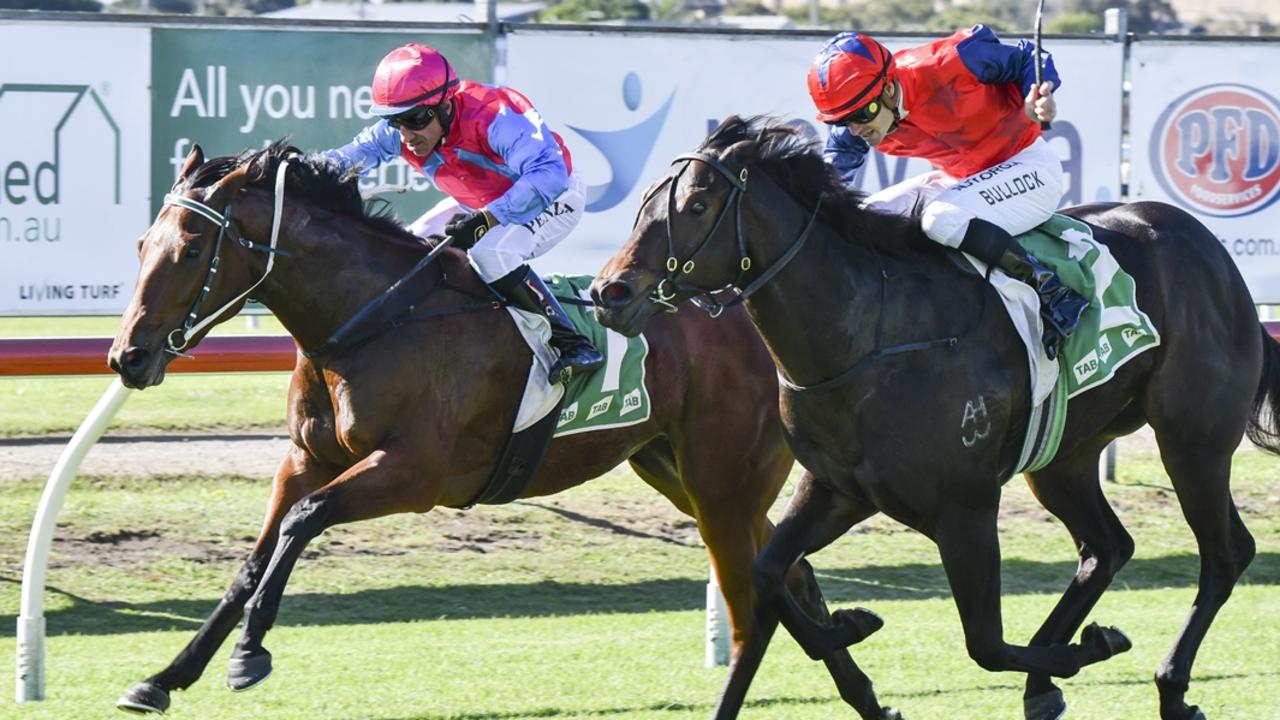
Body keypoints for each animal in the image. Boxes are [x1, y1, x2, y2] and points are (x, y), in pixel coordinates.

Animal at [107, 141, 901, 717]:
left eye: (190, 250)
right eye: (141, 244)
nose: (127, 357)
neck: (373, 319)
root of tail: (745, 304)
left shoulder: (415, 473)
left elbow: (304, 522)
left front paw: (250, 654)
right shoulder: (304, 459)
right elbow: (253, 560)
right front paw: (164, 678)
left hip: (722, 478)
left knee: (768, 578)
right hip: (674, 468)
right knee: (789, 572)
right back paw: (860, 682)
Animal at [591, 116, 1280, 717]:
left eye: (696, 205)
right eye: (647, 200)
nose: (608, 292)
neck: (867, 333)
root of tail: (1210, 249)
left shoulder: (964, 508)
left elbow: (985, 644)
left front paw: (1089, 648)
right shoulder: (838, 488)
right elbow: (769, 574)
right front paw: (851, 624)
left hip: (1193, 441)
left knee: (1225, 554)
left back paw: (1169, 688)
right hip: (1064, 456)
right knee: (1107, 547)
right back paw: (1047, 686)